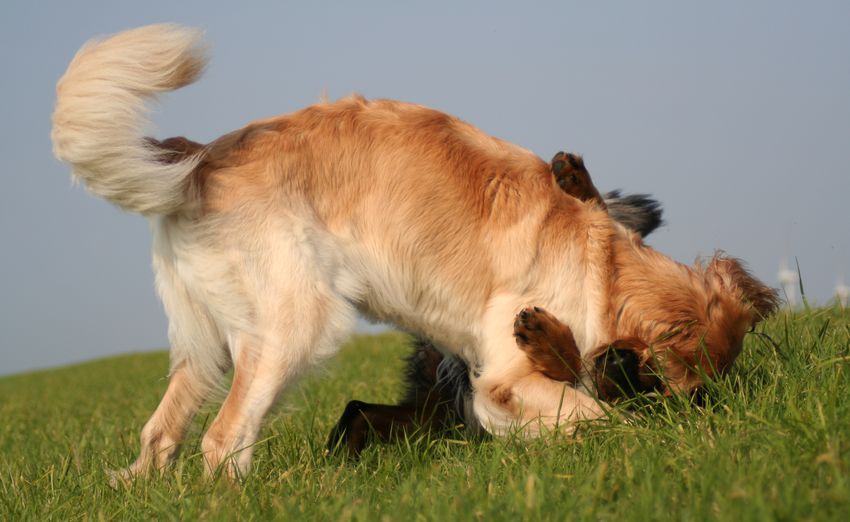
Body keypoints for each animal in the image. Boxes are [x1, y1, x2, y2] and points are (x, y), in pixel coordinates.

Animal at [51, 25, 779, 478]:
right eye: (687, 389)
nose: (698, 409)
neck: (608, 273)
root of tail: (202, 155)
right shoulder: (502, 376)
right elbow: (604, 418)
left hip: (202, 343)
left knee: (161, 435)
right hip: (292, 326)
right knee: (222, 440)